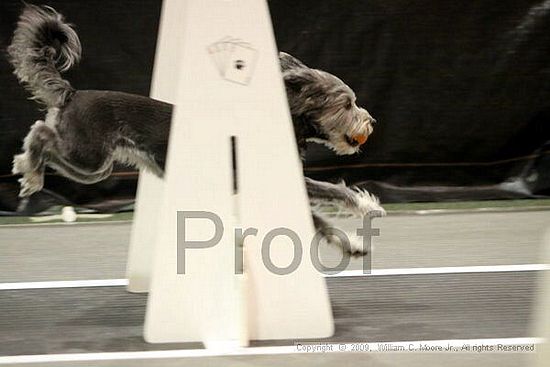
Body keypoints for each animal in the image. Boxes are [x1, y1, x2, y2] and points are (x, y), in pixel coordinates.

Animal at [9, 3, 388, 256]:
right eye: (347, 104)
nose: (371, 122)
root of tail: (71, 93)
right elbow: (332, 195)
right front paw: (366, 209)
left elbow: (320, 215)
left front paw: (352, 243)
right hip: (89, 157)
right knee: (40, 133)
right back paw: (30, 173)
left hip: (90, 163)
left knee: (46, 138)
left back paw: (29, 170)